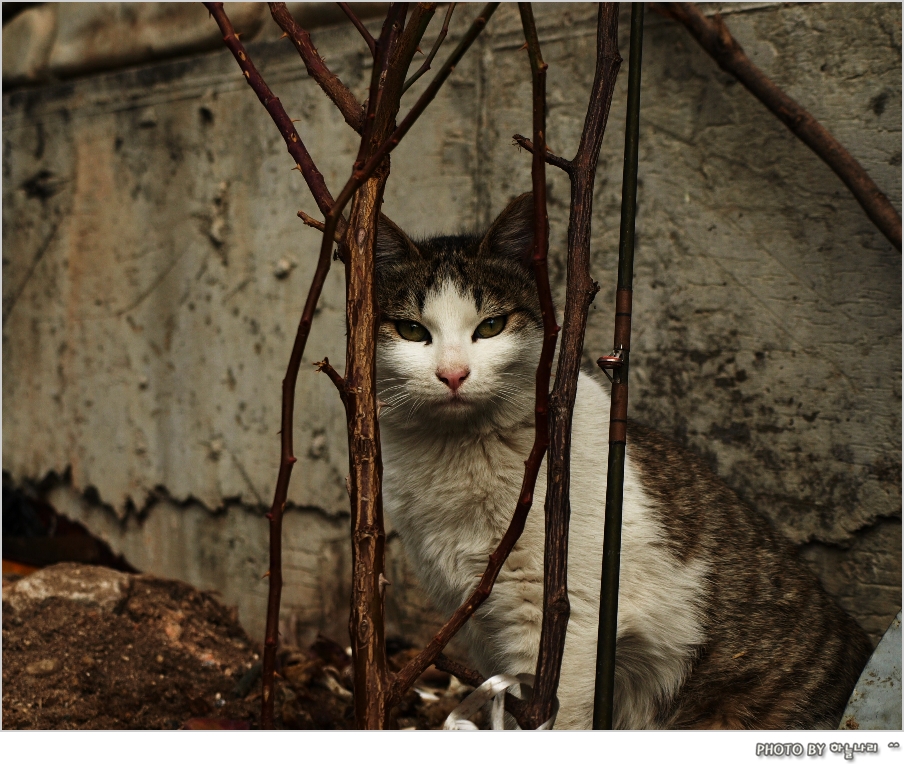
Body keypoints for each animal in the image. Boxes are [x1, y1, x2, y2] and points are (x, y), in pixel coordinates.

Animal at [370, 191, 872, 728]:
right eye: (411, 330)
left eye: (491, 327)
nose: (453, 374)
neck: (458, 454)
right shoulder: (481, 626)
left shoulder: (566, 626)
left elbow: (552, 718)